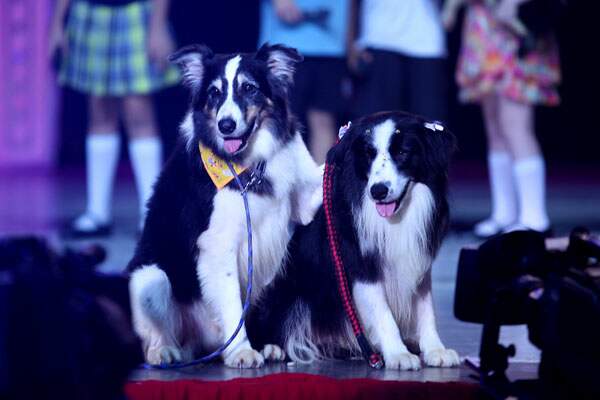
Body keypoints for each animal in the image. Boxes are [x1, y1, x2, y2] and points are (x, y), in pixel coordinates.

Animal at [128, 43, 322, 368]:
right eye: (214, 93)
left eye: (249, 88)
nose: (226, 125)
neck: (251, 163)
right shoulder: (218, 245)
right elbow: (231, 303)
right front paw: (242, 351)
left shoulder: (304, 203)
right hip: (149, 277)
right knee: (156, 336)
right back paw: (165, 351)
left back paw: (265, 346)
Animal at [248, 111, 460, 370]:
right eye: (368, 155)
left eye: (403, 152)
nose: (378, 191)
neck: (397, 218)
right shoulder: (360, 263)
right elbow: (383, 313)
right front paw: (398, 354)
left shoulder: (418, 260)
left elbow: (426, 308)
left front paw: (435, 349)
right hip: (287, 292)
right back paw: (272, 349)